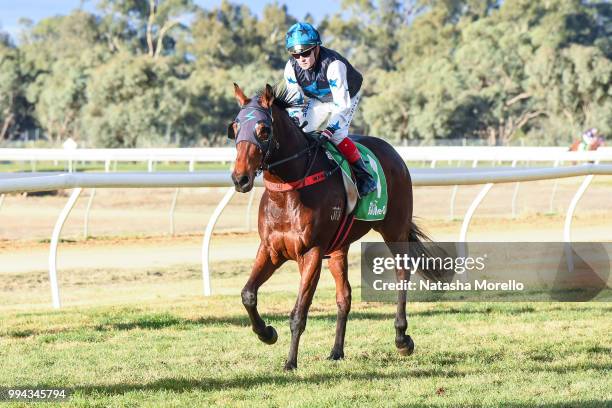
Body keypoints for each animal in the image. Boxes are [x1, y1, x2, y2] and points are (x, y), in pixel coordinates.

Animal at [225, 83, 444, 370]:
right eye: (235, 127)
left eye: (264, 130)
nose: (240, 178)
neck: (288, 191)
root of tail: (392, 151)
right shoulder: (271, 250)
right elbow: (248, 294)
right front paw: (267, 333)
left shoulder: (312, 253)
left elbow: (298, 313)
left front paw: (290, 362)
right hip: (340, 248)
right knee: (345, 296)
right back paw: (337, 351)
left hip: (394, 229)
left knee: (402, 274)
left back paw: (402, 338)